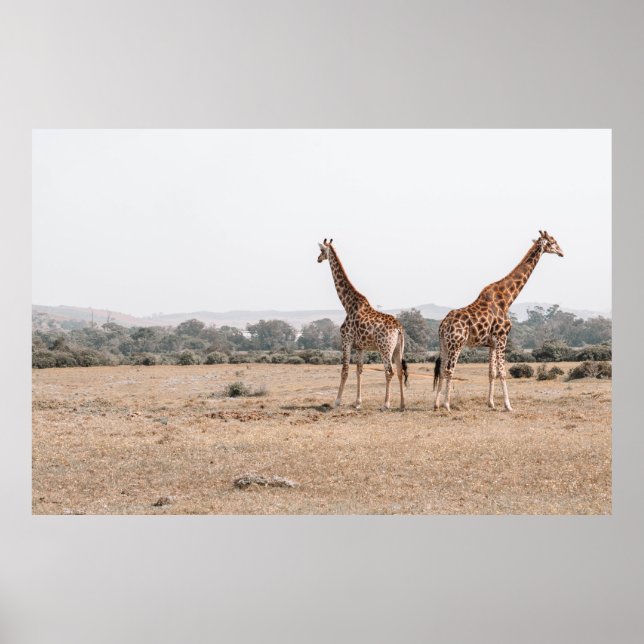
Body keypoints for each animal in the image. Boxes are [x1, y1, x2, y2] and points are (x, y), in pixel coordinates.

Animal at [317, 239, 408, 411]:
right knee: (400, 371)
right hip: (398, 349)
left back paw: (385, 404)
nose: (318, 259)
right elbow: (359, 370)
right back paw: (402, 404)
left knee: (389, 371)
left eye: (321, 250)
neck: (347, 304)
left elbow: (345, 370)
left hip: (385, 348)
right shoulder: (360, 347)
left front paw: (336, 401)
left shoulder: (346, 340)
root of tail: (399, 328)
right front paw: (358, 402)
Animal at [433, 230, 564, 412]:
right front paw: (508, 405)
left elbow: (492, 372)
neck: (507, 299)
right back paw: (447, 405)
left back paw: (436, 404)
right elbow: (503, 372)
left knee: (440, 369)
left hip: (444, 344)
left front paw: (491, 403)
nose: (562, 252)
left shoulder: (492, 343)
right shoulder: (502, 337)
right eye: (553, 242)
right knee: (448, 370)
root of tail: (443, 325)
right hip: (456, 344)